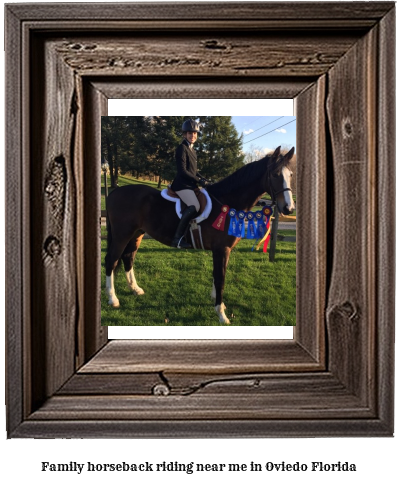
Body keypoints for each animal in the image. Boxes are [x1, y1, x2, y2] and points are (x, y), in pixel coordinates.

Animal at [104, 147, 296, 326]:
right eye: (275, 174)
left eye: (291, 174)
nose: (289, 208)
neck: (227, 202)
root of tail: (114, 192)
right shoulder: (222, 249)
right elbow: (220, 278)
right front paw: (221, 314)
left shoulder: (222, 251)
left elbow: (217, 275)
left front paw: (219, 304)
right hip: (122, 235)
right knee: (112, 260)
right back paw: (113, 299)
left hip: (137, 234)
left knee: (128, 257)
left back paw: (135, 289)